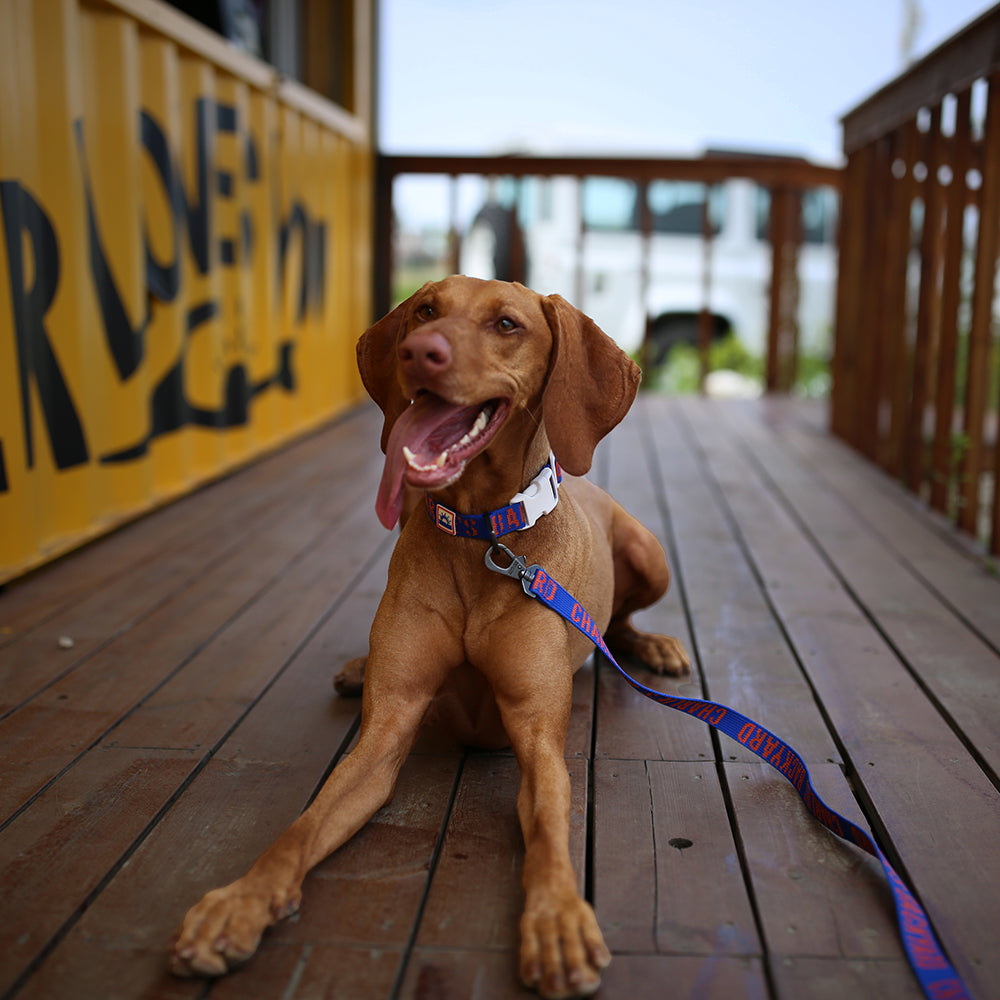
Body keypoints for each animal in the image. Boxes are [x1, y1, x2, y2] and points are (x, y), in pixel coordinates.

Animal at [170, 278, 688, 996]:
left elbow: (549, 832)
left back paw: (654, 646)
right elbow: (301, 827)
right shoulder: (386, 729)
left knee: (621, 622)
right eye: (424, 311)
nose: (420, 351)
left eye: (507, 324)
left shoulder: (538, 736)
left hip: (648, 552)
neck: (482, 538)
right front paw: (239, 902)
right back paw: (356, 665)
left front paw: (557, 918)